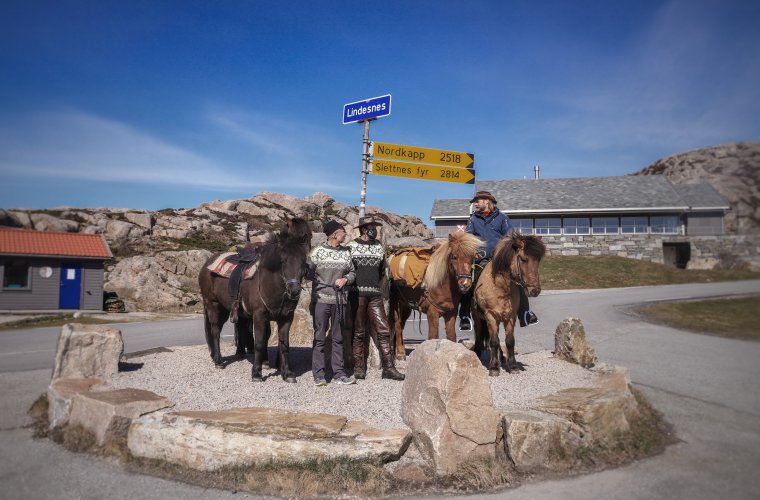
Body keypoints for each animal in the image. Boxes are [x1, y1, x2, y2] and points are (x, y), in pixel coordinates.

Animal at [200, 218, 314, 382]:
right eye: (283, 260)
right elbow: (259, 343)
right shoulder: (259, 315)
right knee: (215, 331)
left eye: (303, 261)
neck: (270, 280)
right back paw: (219, 361)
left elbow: (284, 344)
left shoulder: (286, 317)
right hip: (213, 305)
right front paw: (256, 373)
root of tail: (207, 264)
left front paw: (287, 373)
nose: (294, 290)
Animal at [472, 230, 544, 376]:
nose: (535, 290)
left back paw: (501, 357)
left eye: (538, 260)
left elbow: (509, 341)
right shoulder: (490, 316)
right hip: (477, 317)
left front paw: (513, 366)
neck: (500, 287)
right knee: (479, 334)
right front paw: (494, 368)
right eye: (523, 259)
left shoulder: (511, 317)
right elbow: (494, 341)